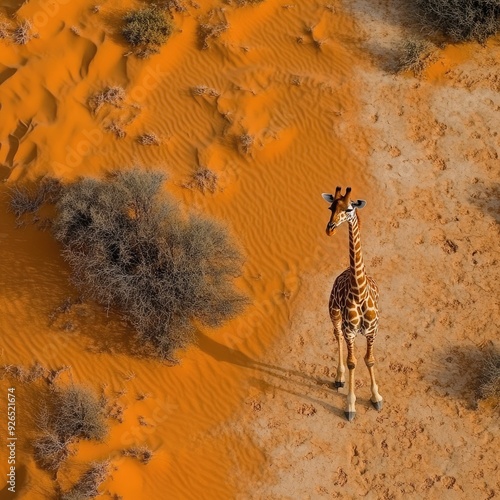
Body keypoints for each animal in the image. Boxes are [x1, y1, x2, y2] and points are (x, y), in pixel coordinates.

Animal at [320, 186, 382, 420]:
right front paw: (350, 406)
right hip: (334, 313)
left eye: (348, 208)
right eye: (331, 207)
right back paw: (339, 377)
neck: (359, 293)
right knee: (336, 336)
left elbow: (369, 360)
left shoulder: (373, 330)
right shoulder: (351, 331)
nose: (329, 229)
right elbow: (353, 362)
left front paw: (376, 398)